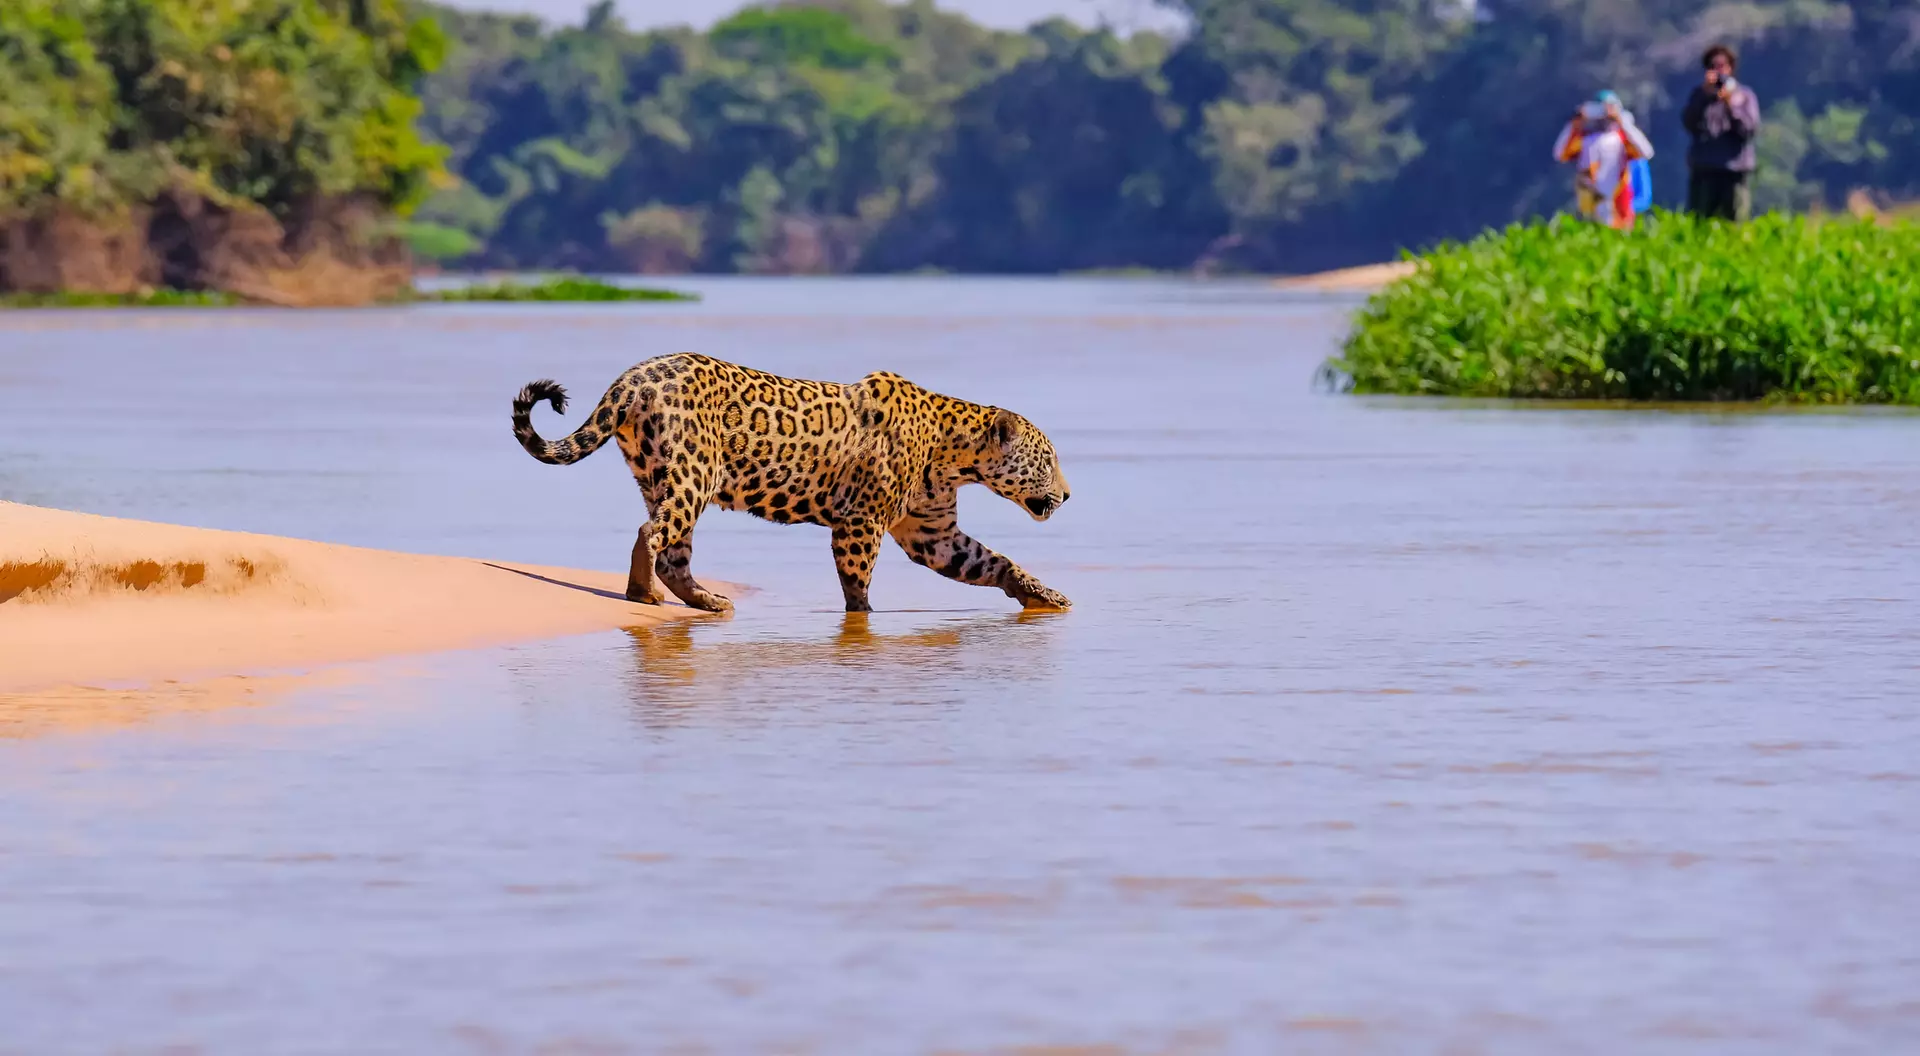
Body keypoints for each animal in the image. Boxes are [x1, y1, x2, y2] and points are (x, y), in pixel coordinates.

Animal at [510, 352, 1073, 614]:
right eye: (1048, 460)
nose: (1068, 494)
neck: (954, 453)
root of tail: (633, 377)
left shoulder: (933, 534)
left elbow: (994, 562)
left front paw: (1046, 596)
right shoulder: (861, 521)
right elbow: (857, 583)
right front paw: (863, 620)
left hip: (659, 474)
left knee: (673, 551)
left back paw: (706, 601)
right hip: (694, 471)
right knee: (653, 533)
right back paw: (642, 595)